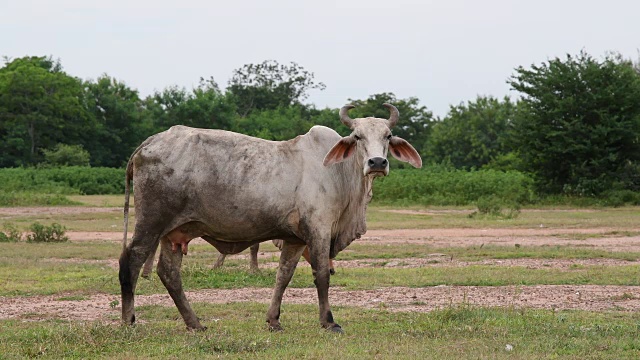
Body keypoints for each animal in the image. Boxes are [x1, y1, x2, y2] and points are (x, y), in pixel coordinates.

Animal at [118, 103, 422, 332]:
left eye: (388, 135)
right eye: (357, 136)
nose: (377, 163)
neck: (339, 173)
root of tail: (148, 143)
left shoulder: (296, 239)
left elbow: (283, 276)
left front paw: (273, 320)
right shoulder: (319, 229)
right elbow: (322, 275)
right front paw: (329, 322)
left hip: (175, 234)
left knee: (169, 273)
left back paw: (195, 324)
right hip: (151, 222)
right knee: (131, 261)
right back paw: (128, 320)